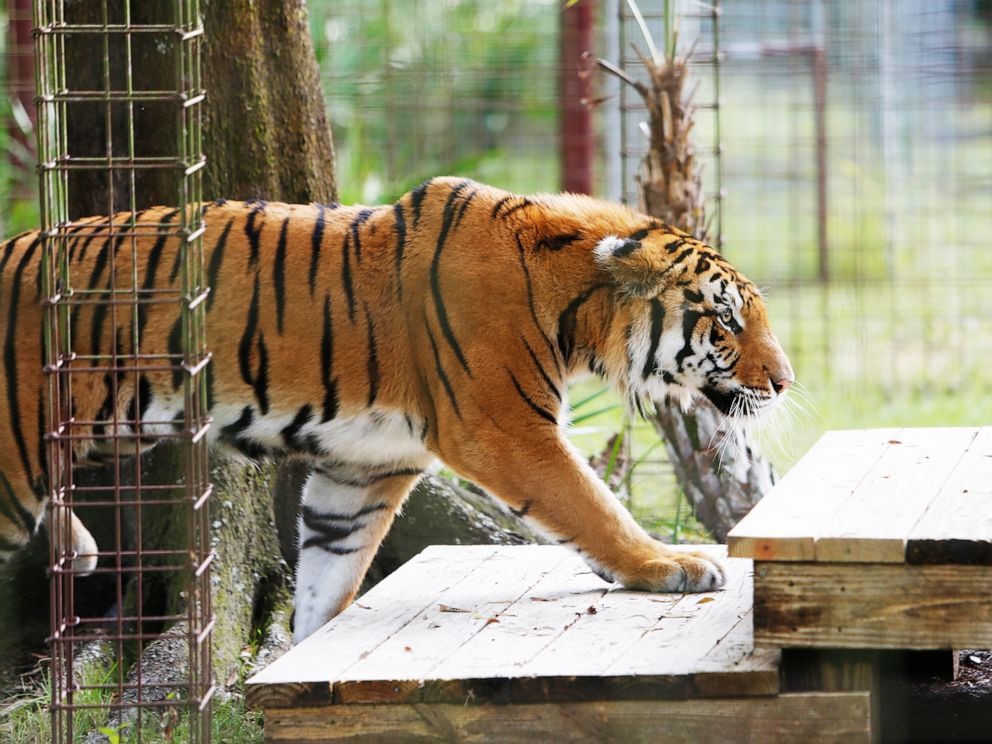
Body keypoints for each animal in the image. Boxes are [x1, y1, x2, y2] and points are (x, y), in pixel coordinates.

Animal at [0, 177, 792, 644]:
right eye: (725, 322)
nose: (785, 383)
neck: (573, 307)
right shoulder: (506, 430)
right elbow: (593, 505)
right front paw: (671, 563)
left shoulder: (365, 467)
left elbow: (329, 576)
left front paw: (303, 655)